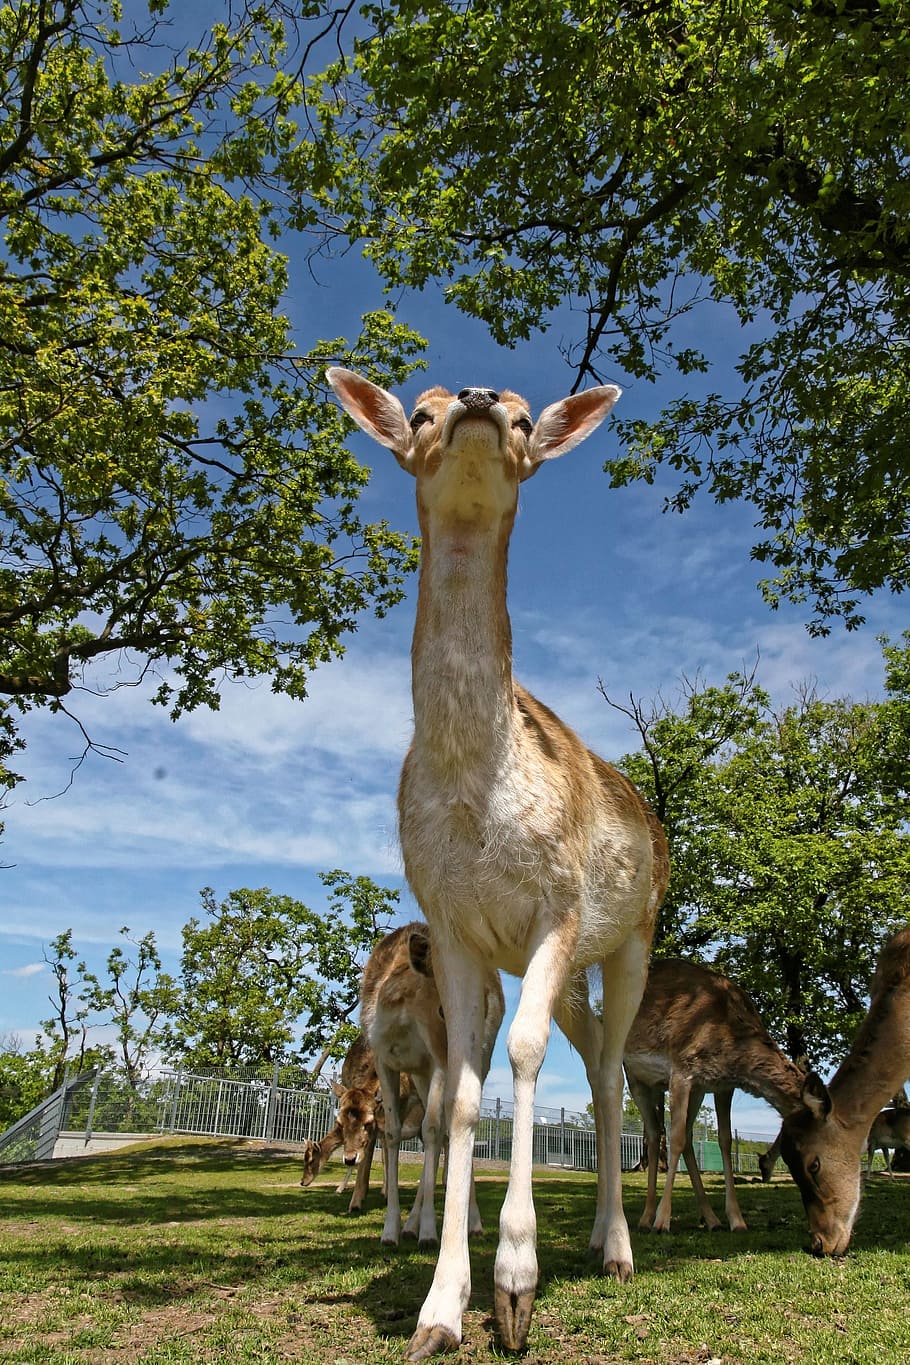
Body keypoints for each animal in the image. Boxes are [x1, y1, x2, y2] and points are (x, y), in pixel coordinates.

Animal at [360, 921, 504, 1248]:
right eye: (444, 1009)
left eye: (482, 1008)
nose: (466, 1050)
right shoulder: (384, 1058)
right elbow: (392, 1132)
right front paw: (390, 1232)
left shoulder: (437, 1058)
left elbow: (431, 1129)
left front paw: (428, 1232)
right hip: (423, 1076)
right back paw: (410, 1226)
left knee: (446, 1127)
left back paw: (471, 1225)